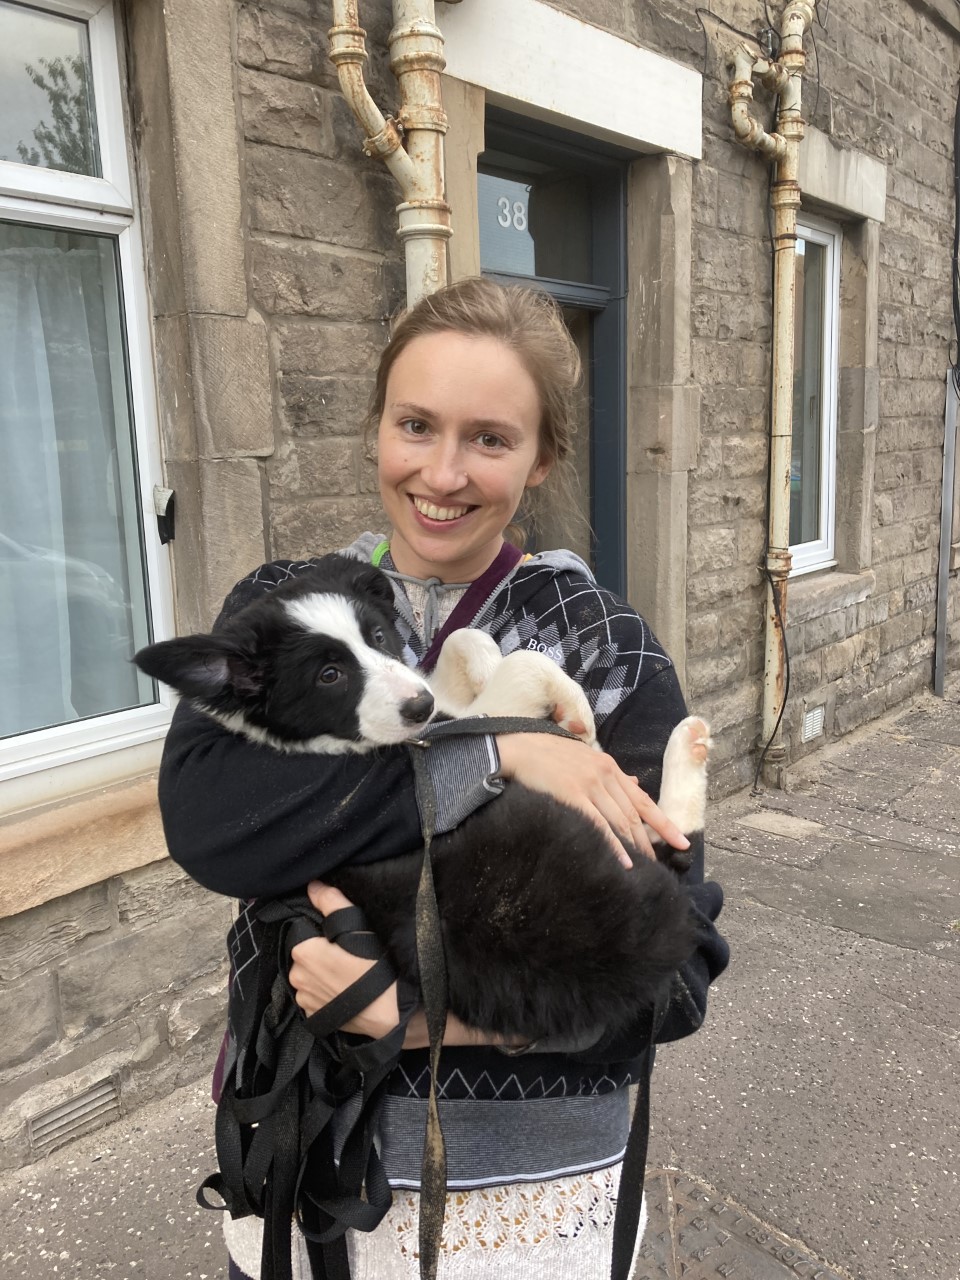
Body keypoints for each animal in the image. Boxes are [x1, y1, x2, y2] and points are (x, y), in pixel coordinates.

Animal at [135, 555, 711, 1044]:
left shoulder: (441, 696)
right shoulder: (465, 724)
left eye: (379, 636)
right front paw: (574, 713)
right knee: (674, 846)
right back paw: (686, 743)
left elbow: (463, 637)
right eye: (329, 676)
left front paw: (485, 661)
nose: (418, 706)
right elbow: (523, 667)